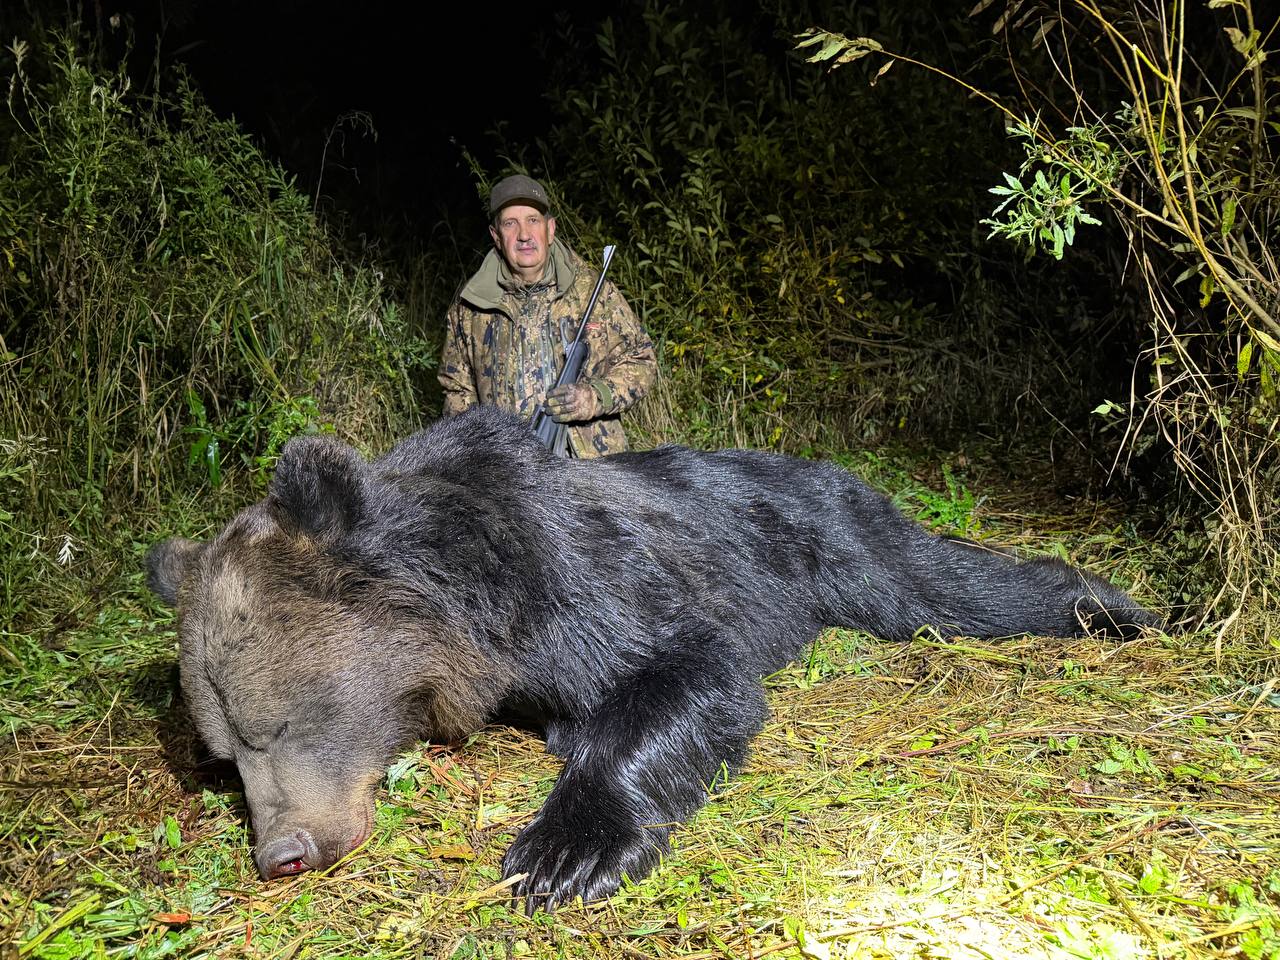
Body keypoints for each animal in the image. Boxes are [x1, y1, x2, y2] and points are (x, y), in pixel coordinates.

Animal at [145, 405, 1158, 913]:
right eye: (222, 759)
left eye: (282, 721)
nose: (282, 852)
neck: (474, 611)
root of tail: (826, 466)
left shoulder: (582, 579)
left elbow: (684, 671)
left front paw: (563, 853)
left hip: (832, 541)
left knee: (946, 583)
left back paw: (1117, 609)